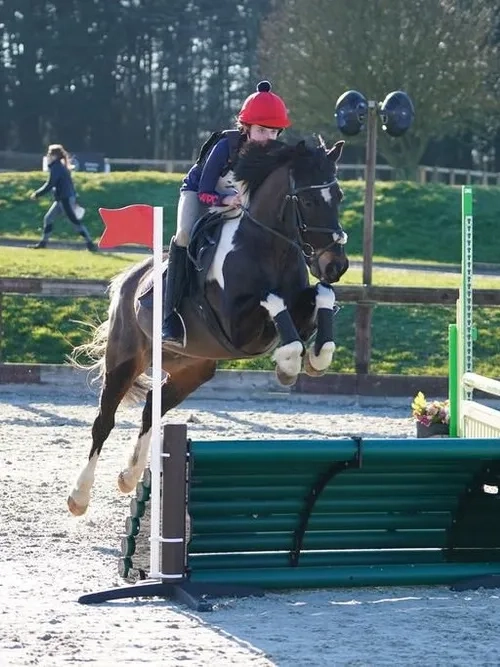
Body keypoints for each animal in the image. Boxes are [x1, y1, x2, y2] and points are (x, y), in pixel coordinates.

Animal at [68, 138, 349, 516]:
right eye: (307, 201)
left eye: (339, 196)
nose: (337, 265)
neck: (269, 247)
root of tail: (130, 277)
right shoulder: (237, 327)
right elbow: (273, 301)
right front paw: (289, 365)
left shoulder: (296, 309)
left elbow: (320, 298)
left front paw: (312, 359)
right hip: (125, 359)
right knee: (104, 420)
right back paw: (79, 496)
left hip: (192, 369)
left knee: (151, 407)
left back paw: (129, 475)